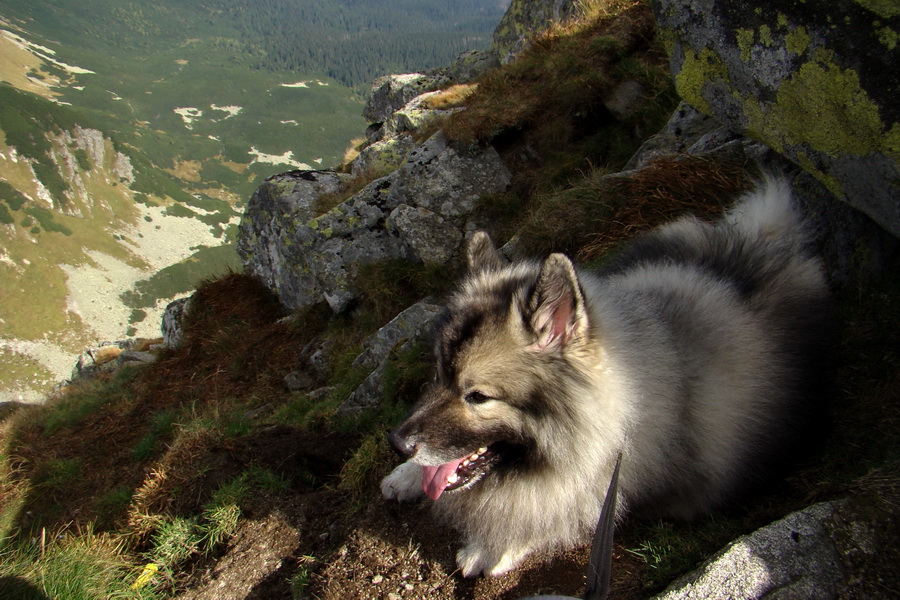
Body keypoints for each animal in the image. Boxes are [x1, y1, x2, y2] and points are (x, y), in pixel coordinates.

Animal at [378, 176, 828, 580]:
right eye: (438, 373)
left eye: (477, 396)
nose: (397, 443)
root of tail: (767, 245)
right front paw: (408, 475)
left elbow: (550, 507)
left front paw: (495, 546)